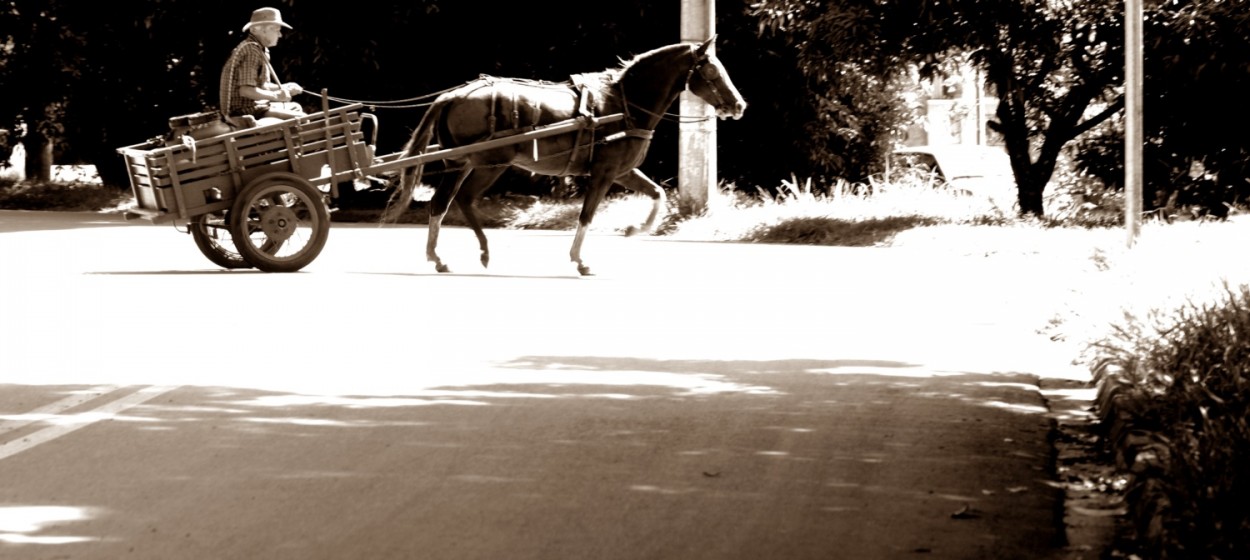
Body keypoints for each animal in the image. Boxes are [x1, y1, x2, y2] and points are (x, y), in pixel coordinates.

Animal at [385, 37, 745, 275]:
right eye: (712, 73)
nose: (739, 105)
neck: (623, 104)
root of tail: (453, 95)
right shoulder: (604, 172)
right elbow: (587, 215)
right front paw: (580, 260)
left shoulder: (622, 171)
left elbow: (658, 195)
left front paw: (635, 229)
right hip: (482, 163)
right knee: (452, 201)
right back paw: (457, 254)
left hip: (470, 164)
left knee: (450, 202)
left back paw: (459, 255)